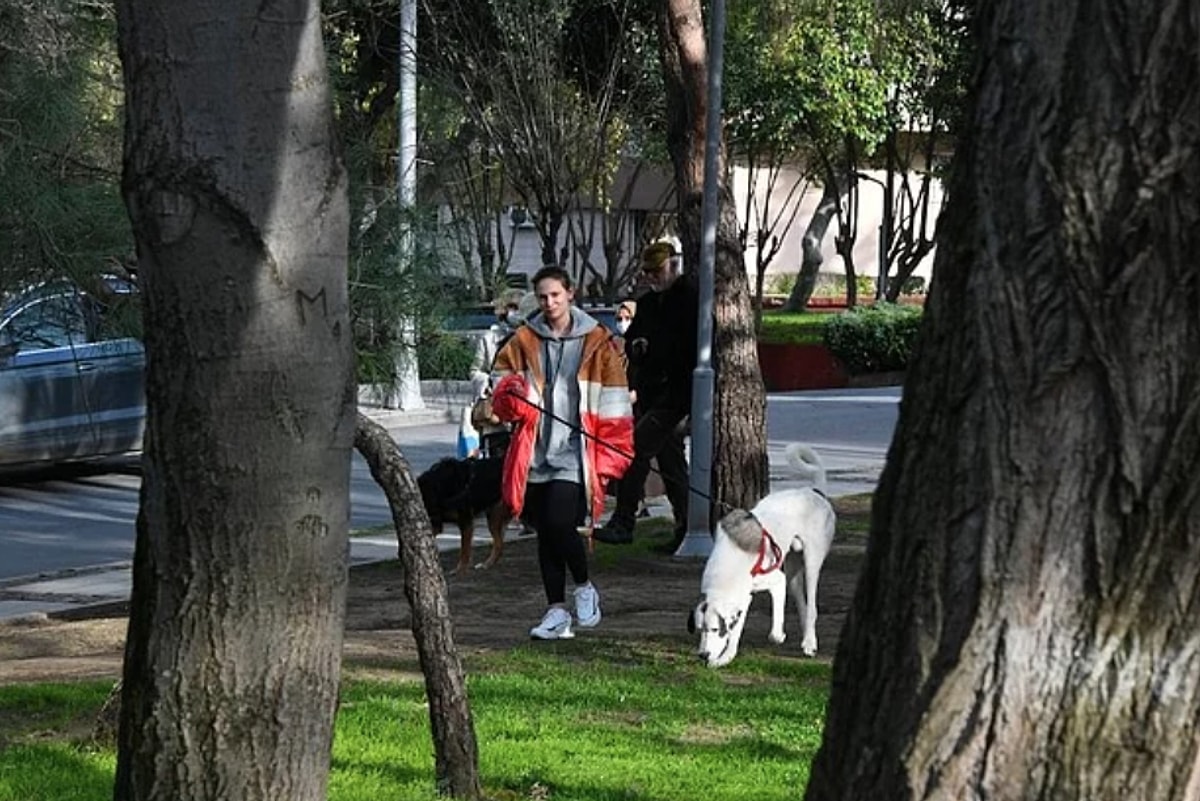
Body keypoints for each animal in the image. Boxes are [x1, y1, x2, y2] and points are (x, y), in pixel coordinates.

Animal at [691, 448, 840, 666]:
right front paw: (726, 657)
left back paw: (809, 642)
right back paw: (806, 635)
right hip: (792, 563)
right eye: (700, 630)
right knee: (800, 597)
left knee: (812, 604)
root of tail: (815, 492)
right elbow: (735, 632)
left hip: (812, 560)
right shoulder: (743, 597)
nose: (702, 655)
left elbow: (775, 628)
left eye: (715, 629)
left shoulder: (777, 581)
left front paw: (779, 635)